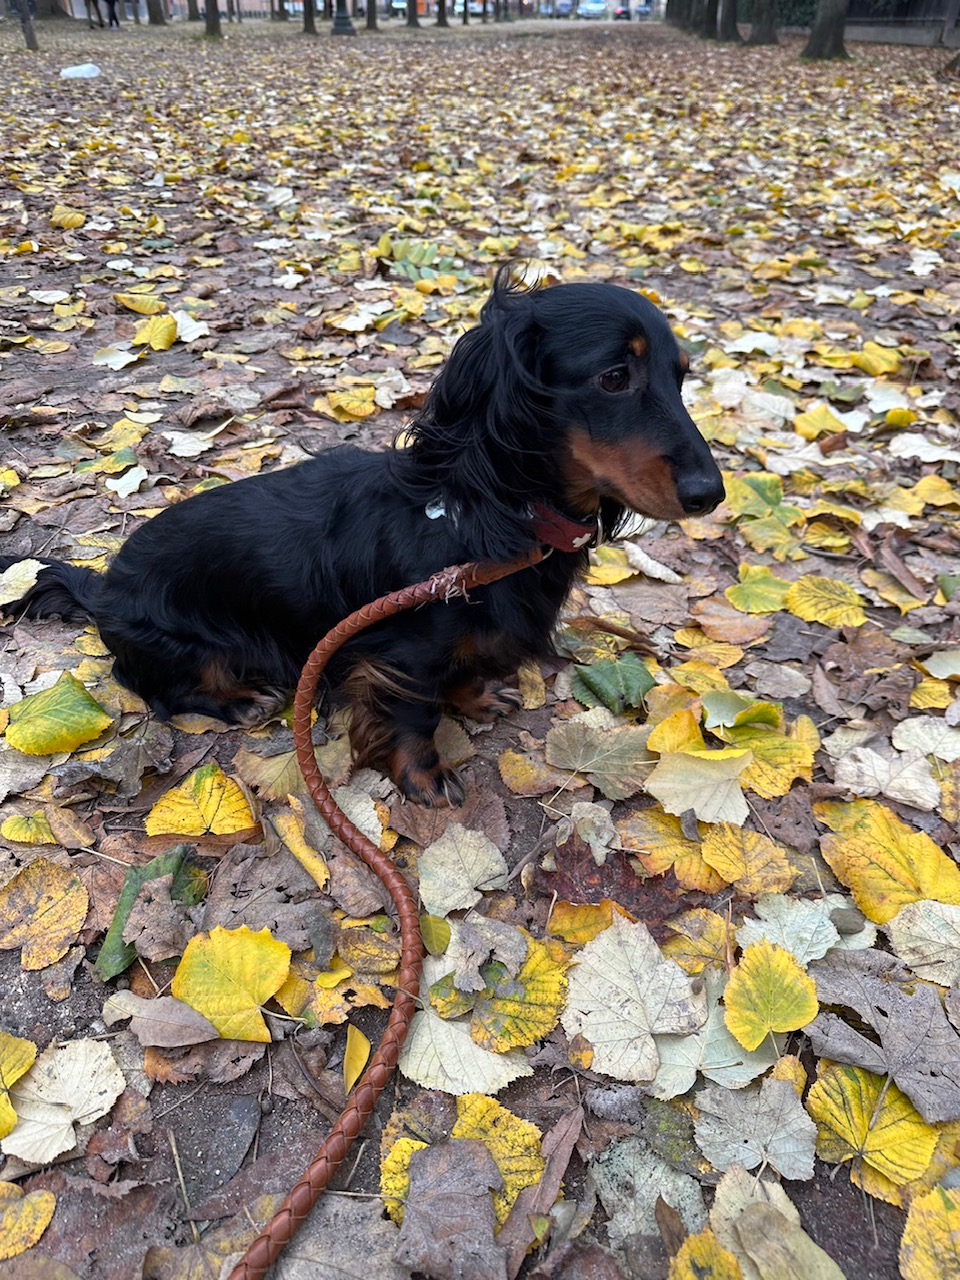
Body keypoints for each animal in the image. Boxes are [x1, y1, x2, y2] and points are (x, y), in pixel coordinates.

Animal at [0, 272, 721, 808]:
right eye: (614, 377)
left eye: (682, 375)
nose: (711, 494)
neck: (482, 515)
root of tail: (103, 588)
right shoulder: (400, 654)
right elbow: (413, 717)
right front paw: (425, 776)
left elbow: (463, 674)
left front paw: (477, 697)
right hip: (189, 646)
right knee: (152, 686)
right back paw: (237, 700)